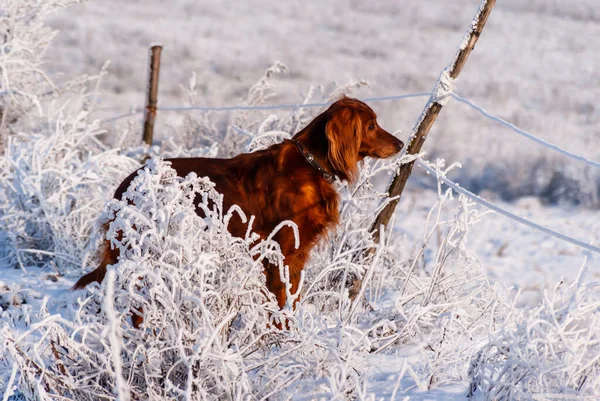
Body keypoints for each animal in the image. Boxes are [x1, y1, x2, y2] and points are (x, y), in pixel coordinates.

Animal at [74, 97, 404, 324]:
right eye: (371, 125)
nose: (401, 144)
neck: (310, 165)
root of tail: (126, 184)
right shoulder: (282, 254)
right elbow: (281, 302)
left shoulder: (296, 256)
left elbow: (291, 300)